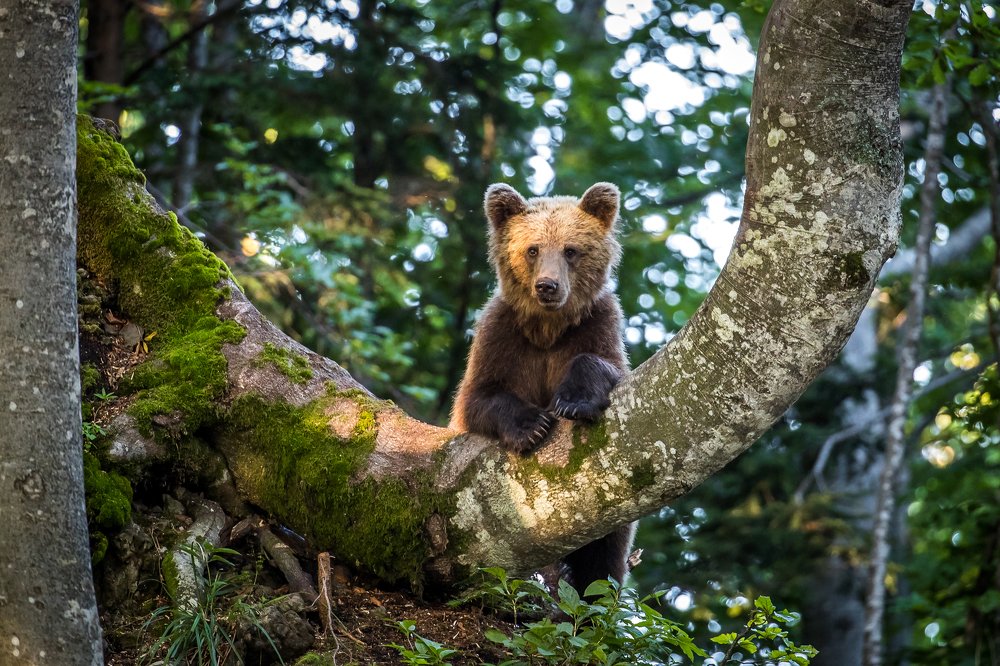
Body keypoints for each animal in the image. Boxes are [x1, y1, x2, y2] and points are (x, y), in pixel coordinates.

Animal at [449, 181, 635, 595]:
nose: (547, 286)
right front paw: (531, 426)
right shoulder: (502, 336)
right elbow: (477, 398)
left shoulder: (596, 325)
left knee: (605, 554)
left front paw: (573, 402)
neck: (548, 329)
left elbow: (605, 365)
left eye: (571, 249)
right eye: (532, 249)